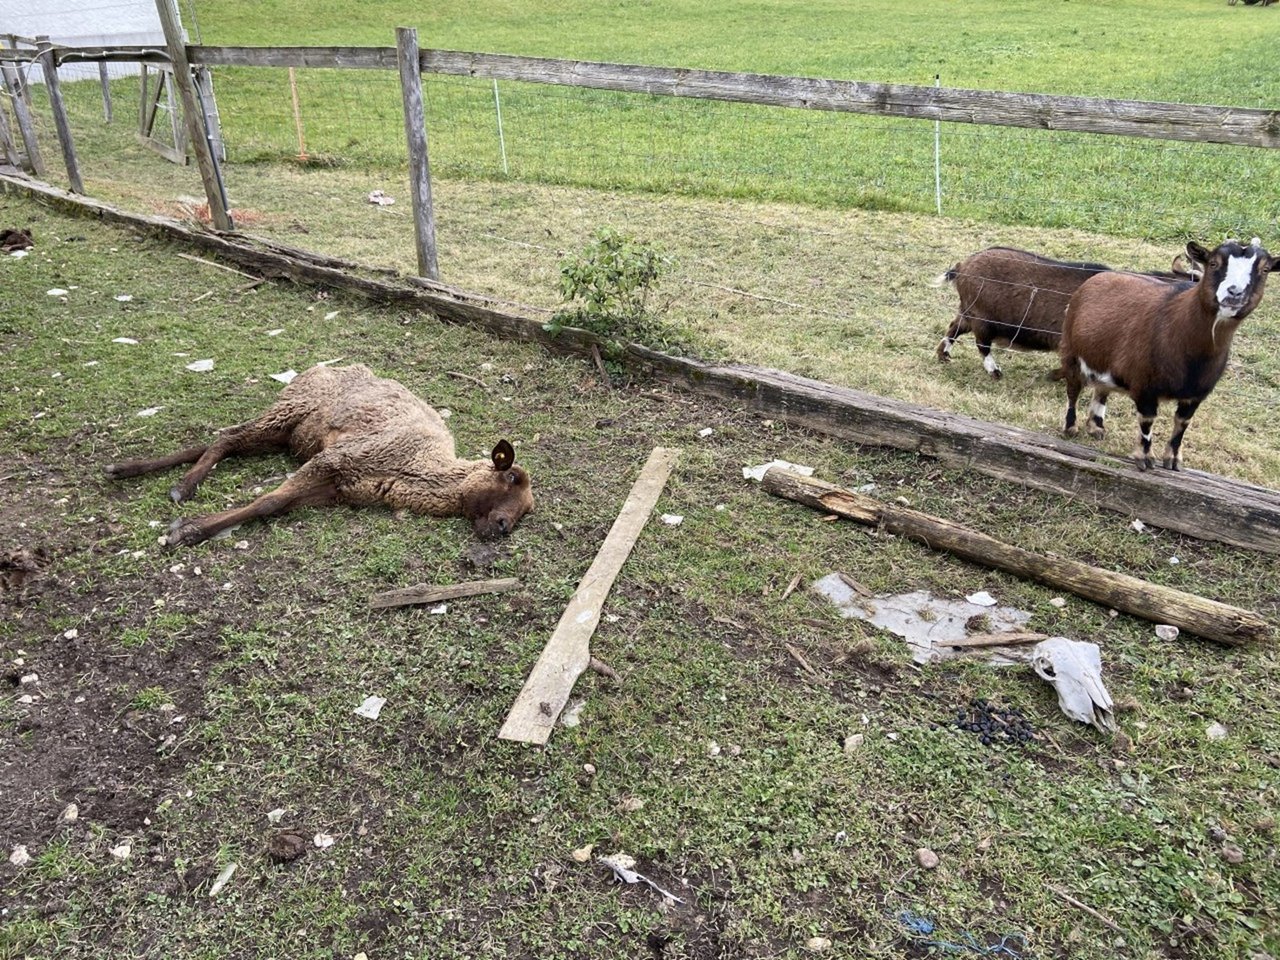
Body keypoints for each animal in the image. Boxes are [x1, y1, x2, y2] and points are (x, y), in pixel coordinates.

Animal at [102, 363, 535, 547]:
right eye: (511, 476)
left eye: (527, 511)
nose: (502, 527)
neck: (416, 467)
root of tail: (323, 366)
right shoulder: (335, 460)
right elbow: (268, 502)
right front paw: (186, 531)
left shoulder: (335, 489)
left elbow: (276, 505)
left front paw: (189, 527)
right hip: (289, 412)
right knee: (228, 437)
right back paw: (183, 486)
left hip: (290, 435)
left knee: (224, 440)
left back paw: (131, 469)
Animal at [931, 248, 1187, 378]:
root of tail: (962, 266)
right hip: (982, 318)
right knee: (982, 344)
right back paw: (994, 371)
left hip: (969, 311)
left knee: (954, 328)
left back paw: (944, 355)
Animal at [1059, 240, 1280, 473]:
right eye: (1213, 263)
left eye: (1265, 270)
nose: (1235, 293)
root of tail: (1095, 280)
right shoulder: (1145, 385)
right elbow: (1147, 421)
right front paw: (1145, 458)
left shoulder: (1196, 394)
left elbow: (1182, 424)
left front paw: (1173, 461)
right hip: (1070, 351)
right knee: (1073, 389)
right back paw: (1070, 427)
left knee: (1102, 388)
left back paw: (1096, 427)